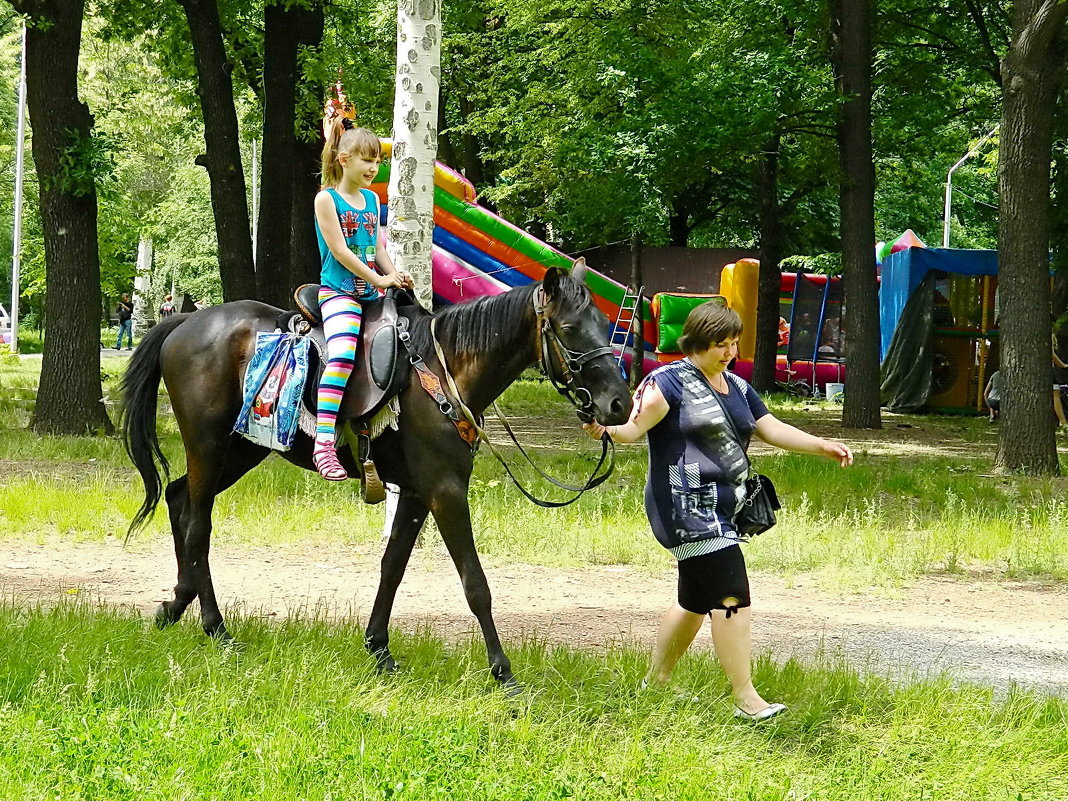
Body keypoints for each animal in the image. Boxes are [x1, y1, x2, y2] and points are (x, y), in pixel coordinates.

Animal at [121, 268, 627, 692]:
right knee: (198, 525)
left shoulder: (418, 494)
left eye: (606, 325)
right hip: (209, 446)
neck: (445, 371)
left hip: (243, 448)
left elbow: (393, 566)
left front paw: (378, 648)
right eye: (569, 329)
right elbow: (475, 584)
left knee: (178, 498)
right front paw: (503, 672)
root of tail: (186, 322)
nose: (619, 404)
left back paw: (176, 604)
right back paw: (215, 627)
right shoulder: (445, 491)